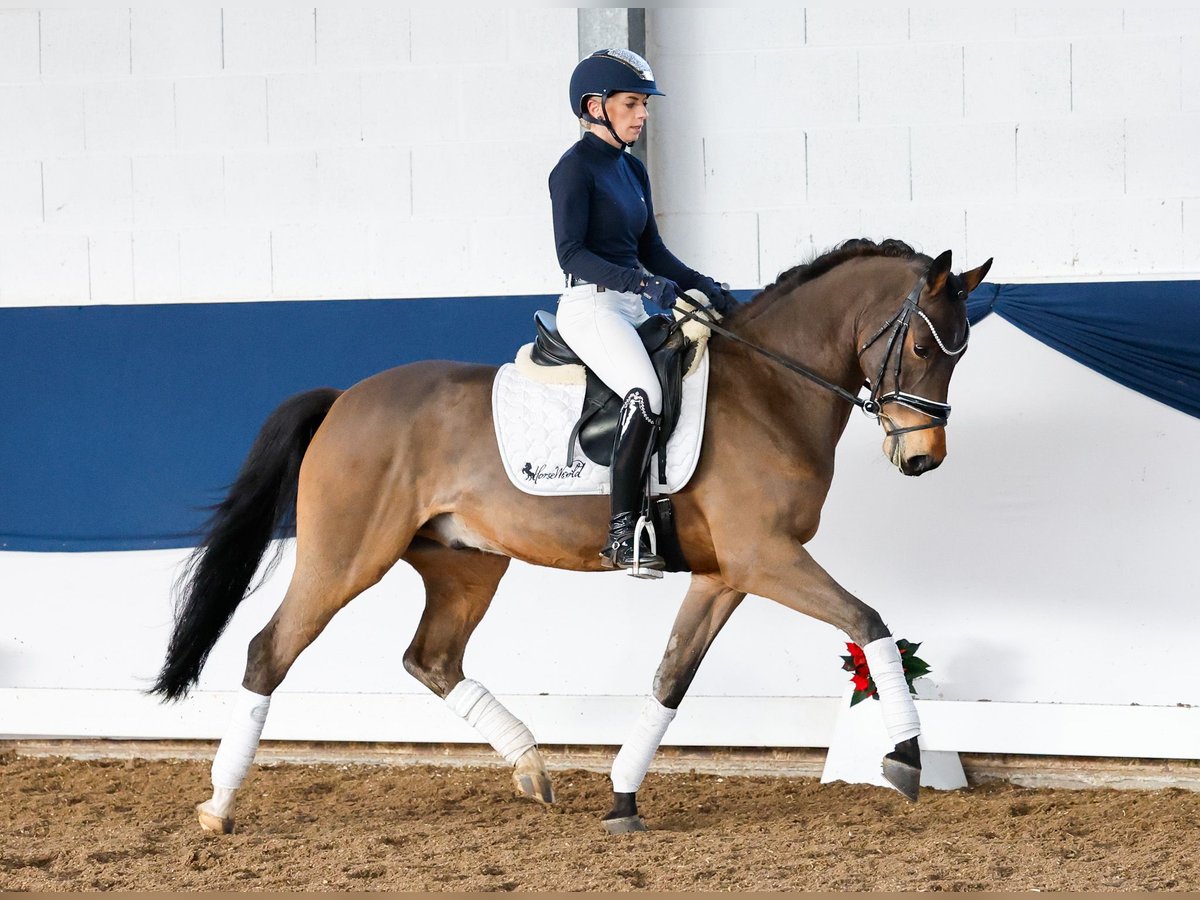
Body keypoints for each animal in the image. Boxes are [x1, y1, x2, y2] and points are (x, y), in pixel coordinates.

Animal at [152, 240, 993, 840]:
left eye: (961, 354)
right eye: (925, 349)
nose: (922, 459)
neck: (770, 390)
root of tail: (343, 400)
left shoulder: (725, 574)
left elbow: (670, 679)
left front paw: (622, 798)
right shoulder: (766, 557)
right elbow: (867, 620)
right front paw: (904, 757)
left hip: (466, 565)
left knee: (431, 659)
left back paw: (530, 767)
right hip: (346, 557)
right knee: (269, 651)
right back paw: (219, 806)